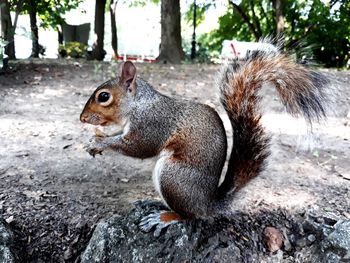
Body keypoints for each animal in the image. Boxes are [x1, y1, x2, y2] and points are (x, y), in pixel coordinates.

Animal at [80, 44, 330, 232]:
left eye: (104, 97)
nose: (82, 118)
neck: (138, 105)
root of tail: (208, 203)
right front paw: (96, 141)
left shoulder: (152, 124)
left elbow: (138, 147)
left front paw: (101, 142)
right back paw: (153, 202)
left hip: (173, 176)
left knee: (190, 215)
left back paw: (164, 217)